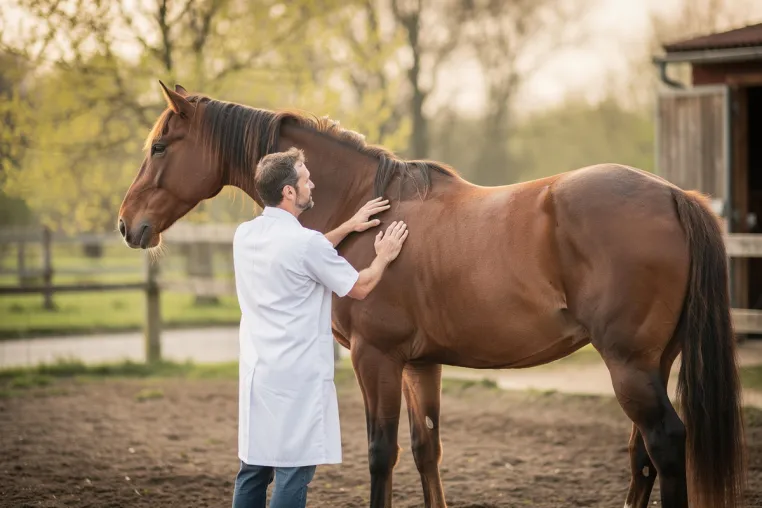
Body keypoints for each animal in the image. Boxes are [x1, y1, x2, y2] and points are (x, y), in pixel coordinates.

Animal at [117, 81, 746, 508]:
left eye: (160, 147)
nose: (127, 225)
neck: (362, 204)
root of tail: (672, 195)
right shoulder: (420, 365)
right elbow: (426, 450)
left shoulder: (375, 357)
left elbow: (381, 453)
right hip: (651, 363)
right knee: (644, 457)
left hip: (628, 365)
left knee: (665, 443)